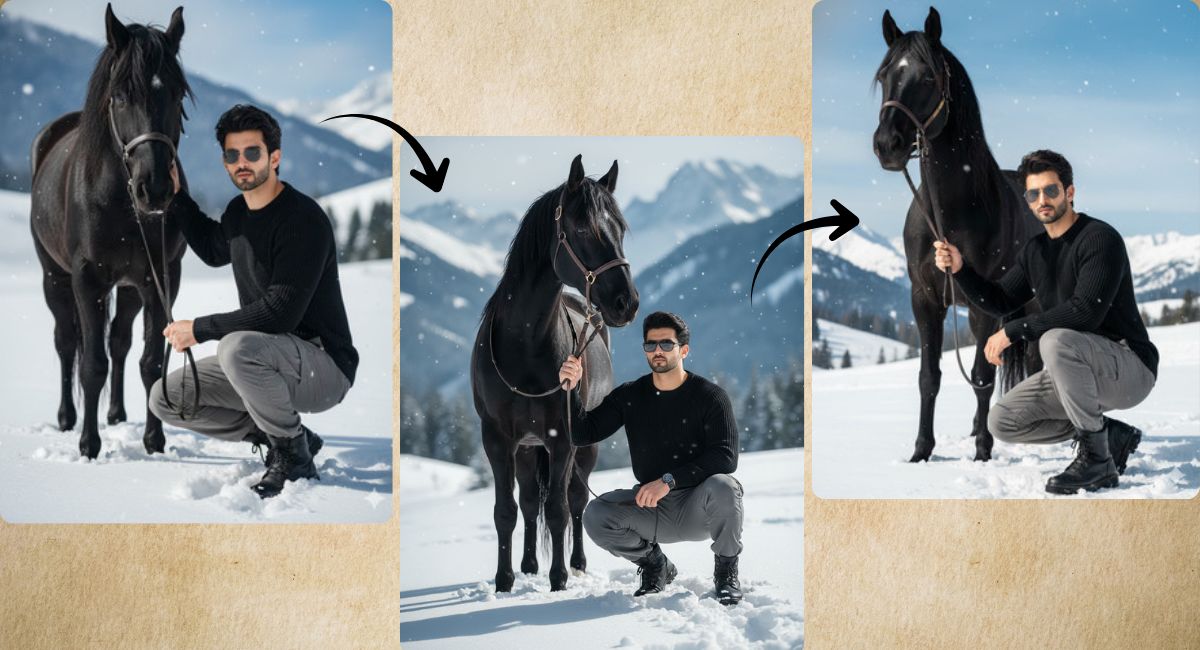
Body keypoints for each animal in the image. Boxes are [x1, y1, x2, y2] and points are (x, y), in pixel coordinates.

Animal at [30, 4, 191, 459]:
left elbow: (151, 361)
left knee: (119, 341)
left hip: (131, 287)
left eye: (177, 95)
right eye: (120, 96)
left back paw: (117, 414)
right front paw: (88, 445)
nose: (156, 188)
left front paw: (155, 441)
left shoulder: (159, 280)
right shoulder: (87, 280)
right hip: (55, 278)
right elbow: (91, 365)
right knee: (67, 342)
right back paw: (67, 419)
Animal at [471, 155, 639, 592]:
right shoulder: (497, 438)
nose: (626, 303)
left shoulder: (563, 438)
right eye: (581, 228)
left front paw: (559, 580)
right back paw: (529, 565)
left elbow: (561, 509)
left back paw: (576, 563)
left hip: (584, 447)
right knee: (531, 502)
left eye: (620, 228)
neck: (525, 347)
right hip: (528, 448)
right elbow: (506, 510)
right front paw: (504, 582)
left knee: (575, 501)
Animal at [872, 7, 1042, 463]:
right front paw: (921, 452)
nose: (888, 145)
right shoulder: (925, 299)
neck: (950, 212)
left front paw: (983, 451)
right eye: (883, 75)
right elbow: (928, 376)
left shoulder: (984, 306)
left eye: (928, 76)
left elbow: (982, 374)